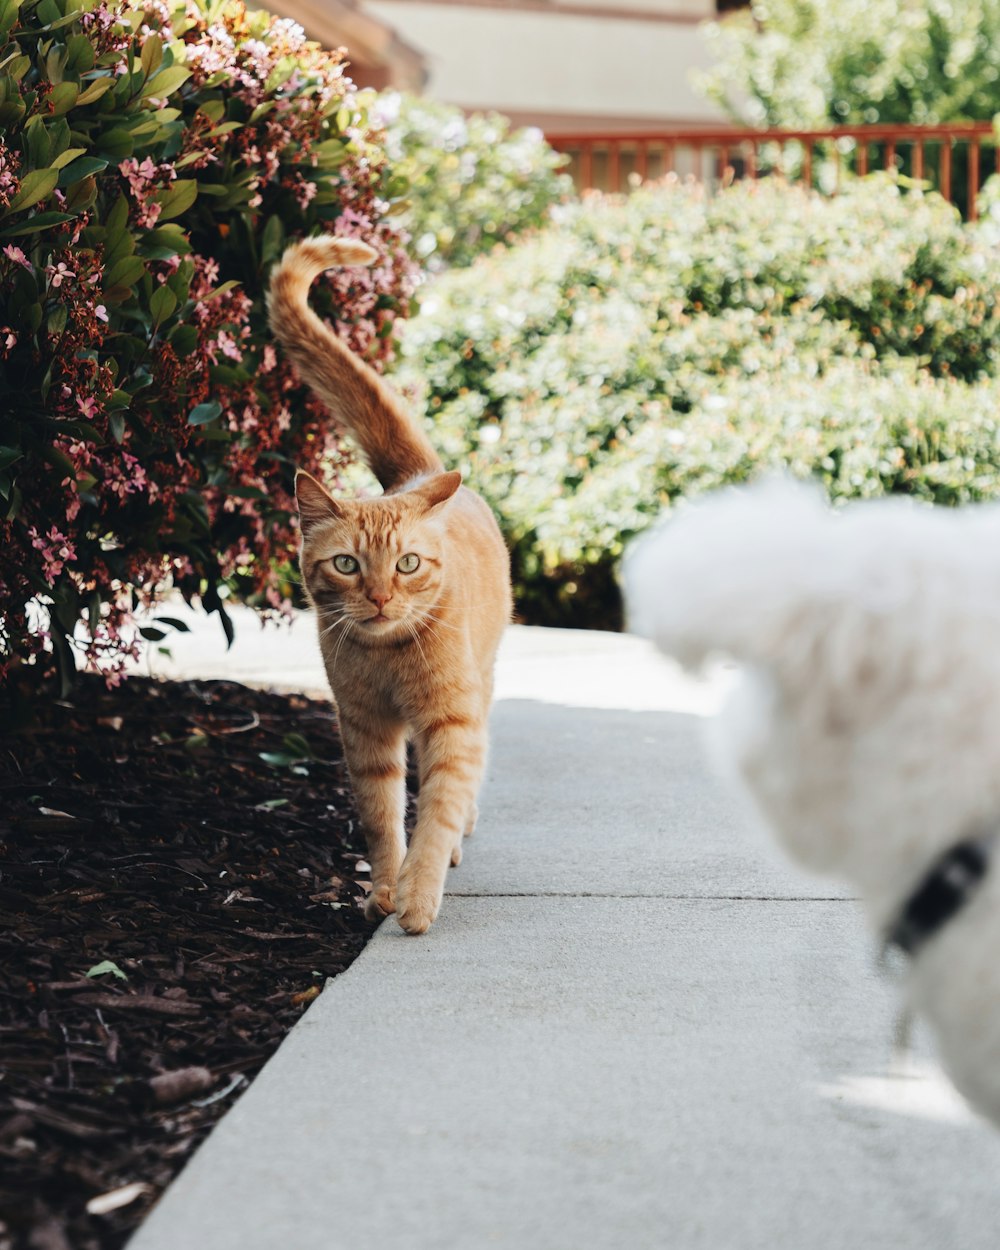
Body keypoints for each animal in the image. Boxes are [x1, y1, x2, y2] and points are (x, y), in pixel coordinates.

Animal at [270, 238, 512, 935]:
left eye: (406, 564)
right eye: (348, 566)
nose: (379, 598)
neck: (388, 659)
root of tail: (422, 476)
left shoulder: (451, 724)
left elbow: (435, 813)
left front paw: (417, 896)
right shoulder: (365, 729)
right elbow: (382, 817)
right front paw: (383, 888)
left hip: (481, 687)